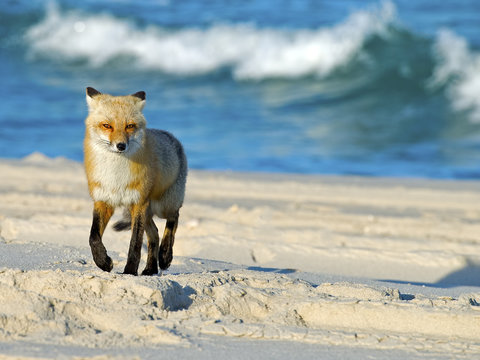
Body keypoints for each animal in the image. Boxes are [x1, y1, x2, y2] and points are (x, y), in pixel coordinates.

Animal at [82, 88, 188, 276]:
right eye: (107, 125)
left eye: (130, 126)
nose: (121, 145)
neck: (116, 176)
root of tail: (171, 136)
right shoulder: (103, 201)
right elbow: (93, 237)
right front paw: (103, 261)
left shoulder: (138, 202)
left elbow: (135, 244)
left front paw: (130, 271)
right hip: (144, 212)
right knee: (155, 234)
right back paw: (151, 268)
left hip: (162, 206)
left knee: (173, 219)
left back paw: (165, 255)